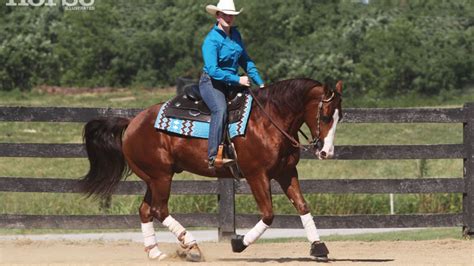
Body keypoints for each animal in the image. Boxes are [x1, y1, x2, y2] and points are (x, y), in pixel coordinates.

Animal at [80, 77, 340, 262]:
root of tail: (132, 122)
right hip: (161, 177)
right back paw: (192, 246)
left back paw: (156, 253)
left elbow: (303, 206)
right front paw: (238, 243)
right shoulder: (257, 175)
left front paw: (319, 248)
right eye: (326, 116)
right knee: (159, 210)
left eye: (339, 116)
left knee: (146, 210)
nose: (326, 152)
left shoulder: (286, 173)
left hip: (153, 179)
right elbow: (268, 214)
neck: (268, 122)